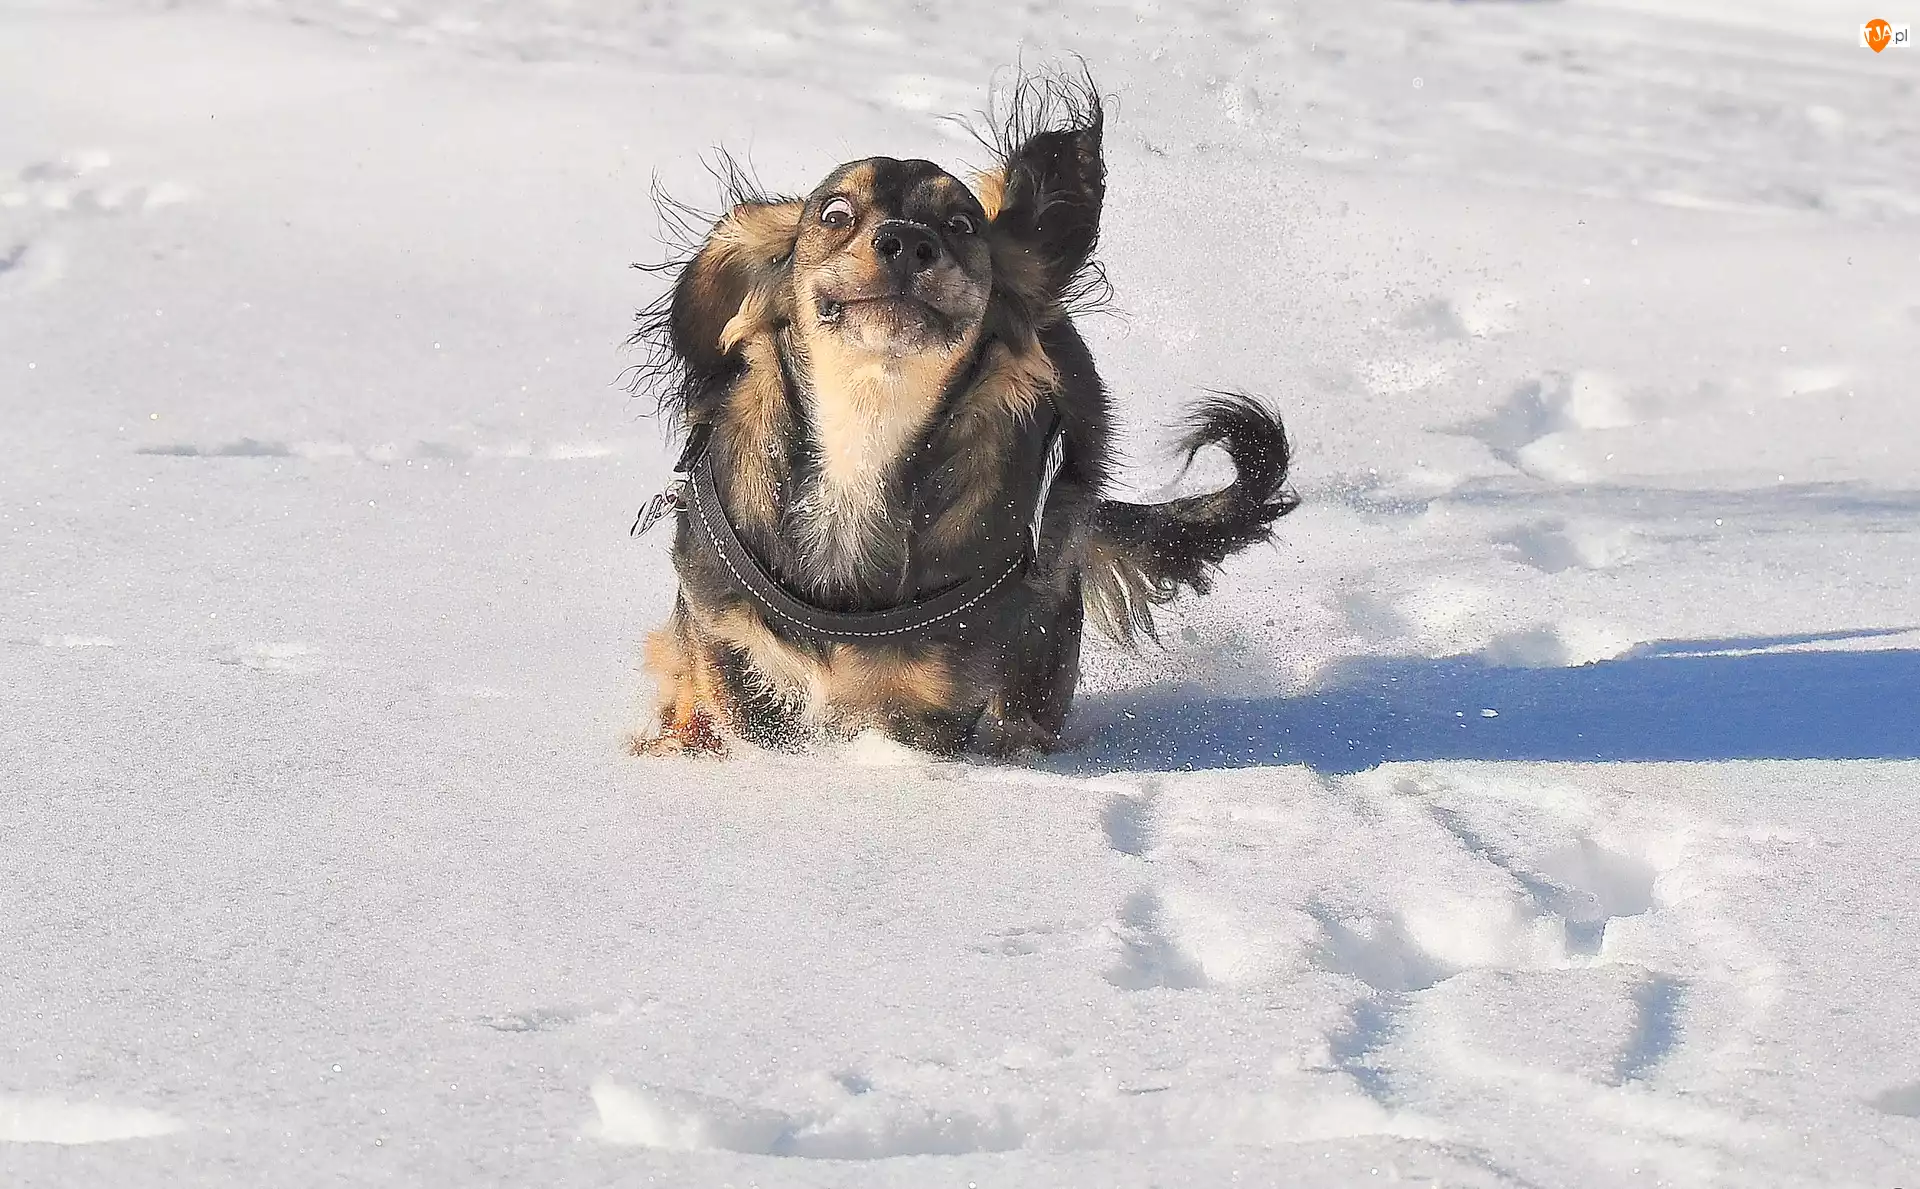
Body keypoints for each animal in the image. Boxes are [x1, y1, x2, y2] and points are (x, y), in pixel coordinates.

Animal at [628, 71, 1299, 758]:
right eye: (834, 213)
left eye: (961, 224)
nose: (907, 242)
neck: (865, 429)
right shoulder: (723, 634)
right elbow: (728, 709)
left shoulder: (945, 695)